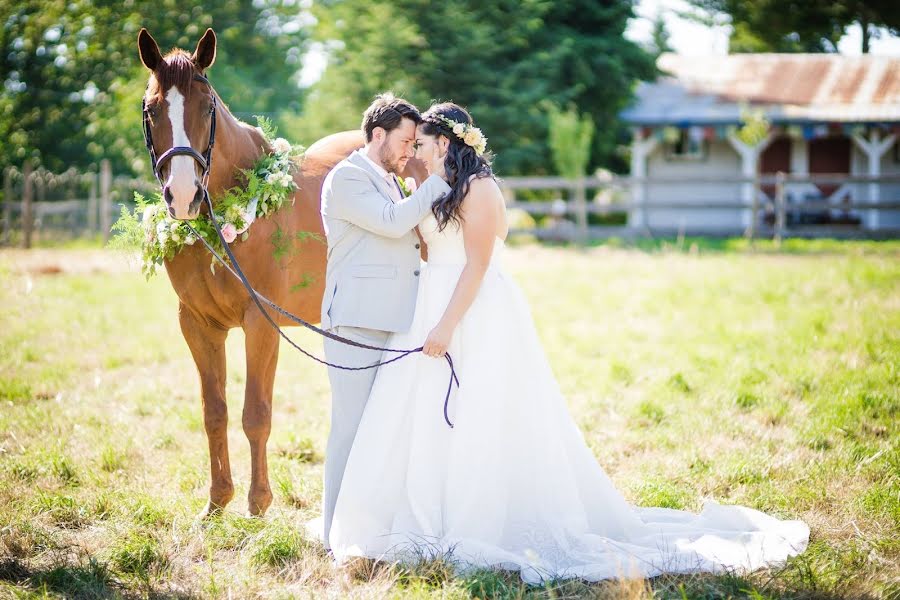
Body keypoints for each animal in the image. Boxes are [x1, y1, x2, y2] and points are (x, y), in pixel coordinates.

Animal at [136, 27, 426, 516]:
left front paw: (257, 505)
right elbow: (214, 412)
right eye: (151, 108)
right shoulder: (197, 324)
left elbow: (255, 414)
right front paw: (217, 502)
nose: (183, 194)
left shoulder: (261, 322)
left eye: (208, 106)